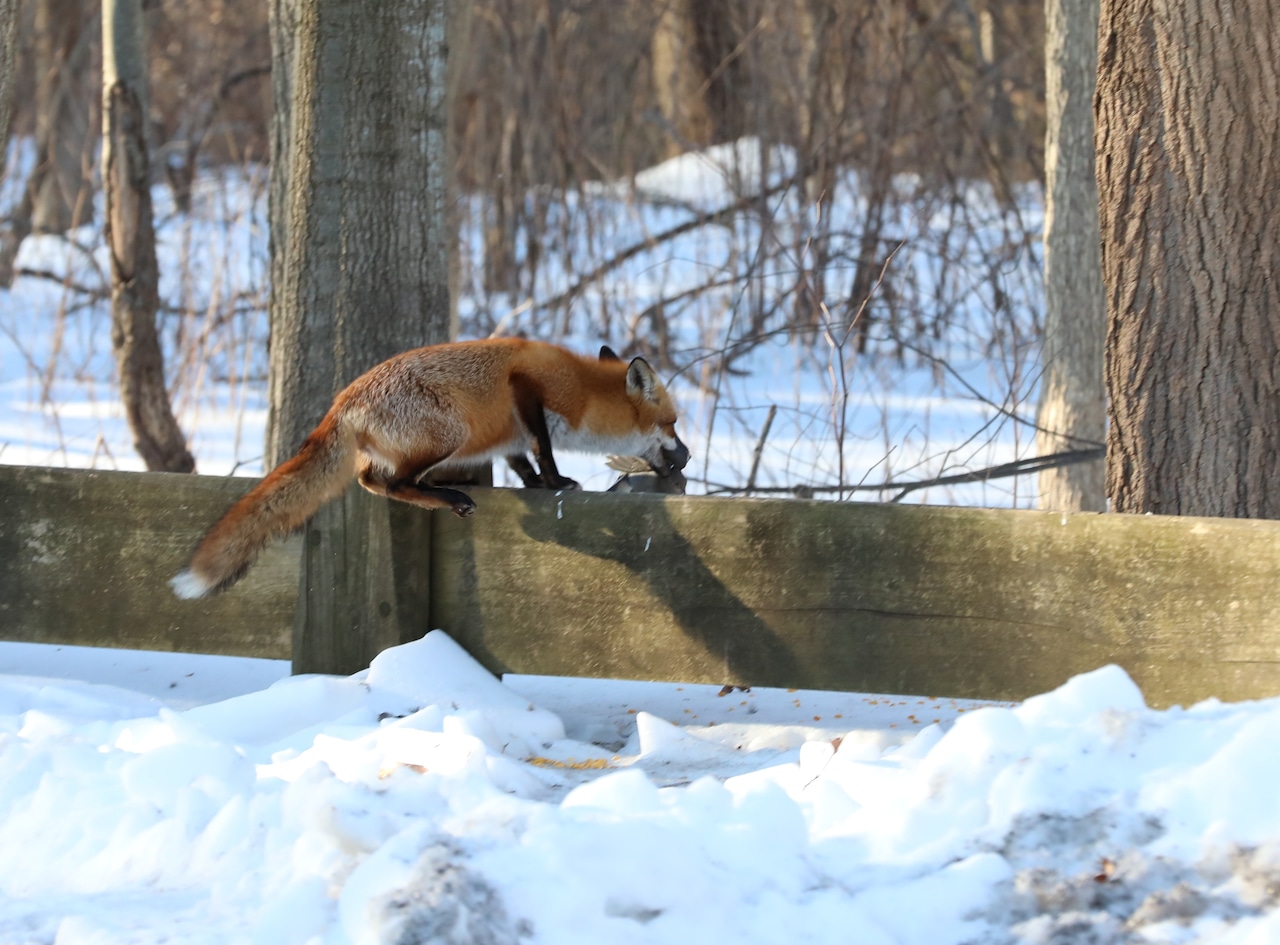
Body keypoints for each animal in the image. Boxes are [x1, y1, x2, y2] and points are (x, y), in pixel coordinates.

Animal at [170, 338, 689, 599]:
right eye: (673, 424)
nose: (685, 457)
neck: (581, 390)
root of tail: (341, 401)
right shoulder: (526, 386)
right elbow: (542, 446)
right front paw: (557, 480)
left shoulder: (508, 435)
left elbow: (522, 460)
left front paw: (539, 484)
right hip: (450, 434)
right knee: (390, 481)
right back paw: (449, 497)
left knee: (373, 480)